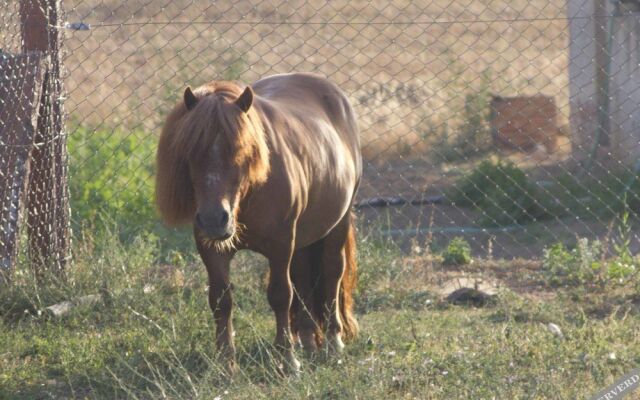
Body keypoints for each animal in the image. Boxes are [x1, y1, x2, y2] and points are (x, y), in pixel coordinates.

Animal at [156, 72, 360, 372]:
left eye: (241, 149)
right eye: (191, 151)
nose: (214, 219)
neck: (249, 193)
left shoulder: (281, 245)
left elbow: (281, 295)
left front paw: (287, 359)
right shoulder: (212, 250)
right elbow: (221, 299)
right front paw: (226, 363)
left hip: (337, 224)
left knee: (332, 272)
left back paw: (333, 343)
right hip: (304, 237)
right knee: (303, 279)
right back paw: (308, 341)